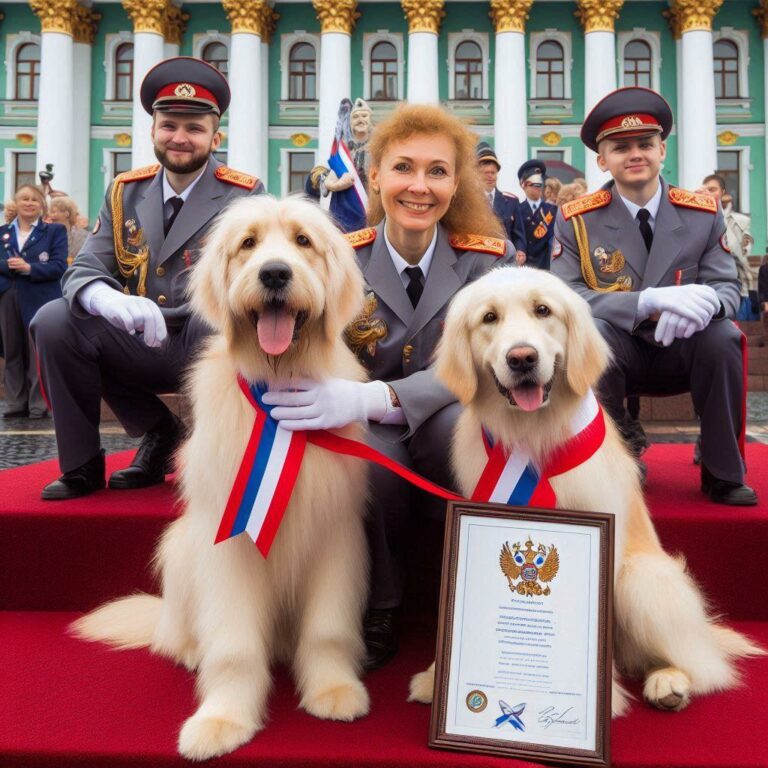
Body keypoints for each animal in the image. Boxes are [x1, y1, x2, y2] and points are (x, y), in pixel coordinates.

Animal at [73, 195, 372, 760]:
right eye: (248, 243)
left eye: (303, 241)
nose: (274, 273)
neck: (280, 385)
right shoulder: (229, 540)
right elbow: (234, 644)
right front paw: (222, 719)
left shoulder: (334, 534)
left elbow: (327, 628)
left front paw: (333, 689)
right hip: (179, 547)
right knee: (179, 634)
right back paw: (191, 650)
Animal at [412, 268, 760, 716]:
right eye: (489, 318)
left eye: (543, 310)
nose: (522, 358)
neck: (534, 436)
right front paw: (437, 674)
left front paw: (600, 697)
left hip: (642, 579)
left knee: (702, 665)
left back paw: (668, 682)